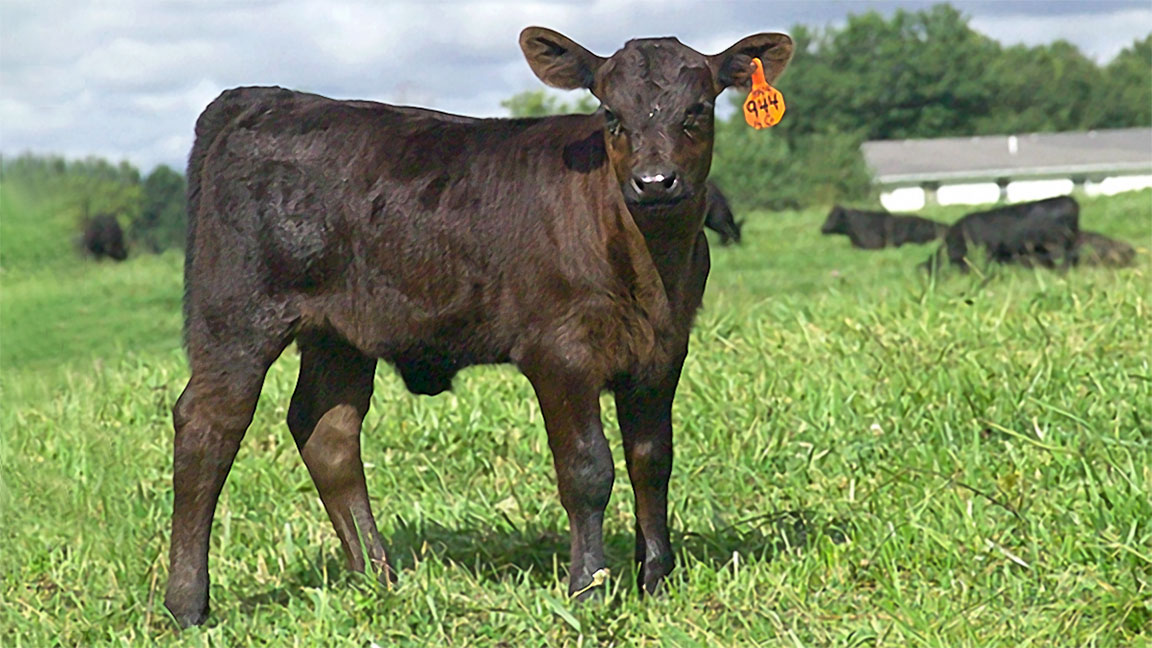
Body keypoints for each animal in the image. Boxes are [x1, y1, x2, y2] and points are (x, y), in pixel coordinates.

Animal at [163, 27, 794, 627]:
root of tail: (263, 97)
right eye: (611, 114)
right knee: (208, 427)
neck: (650, 265)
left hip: (339, 333)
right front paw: (587, 588)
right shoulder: (558, 355)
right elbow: (588, 470)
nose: (654, 181)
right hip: (237, 316)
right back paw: (187, 604)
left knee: (327, 430)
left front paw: (656, 581)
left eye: (698, 109)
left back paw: (378, 577)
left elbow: (652, 462)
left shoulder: (662, 355)